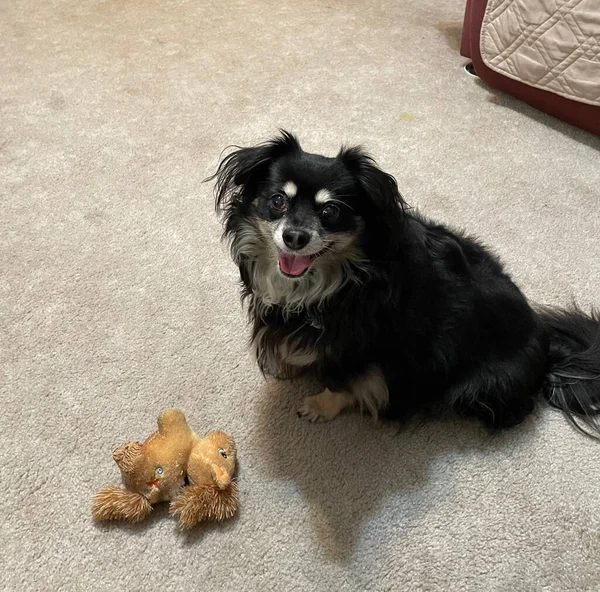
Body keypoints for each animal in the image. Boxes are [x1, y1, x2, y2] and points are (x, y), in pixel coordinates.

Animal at [210, 132, 600, 438]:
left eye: (330, 212)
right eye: (277, 200)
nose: (294, 237)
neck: (335, 282)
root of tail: (549, 351)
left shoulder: (363, 345)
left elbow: (341, 380)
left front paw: (320, 406)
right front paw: (291, 366)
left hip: (480, 389)